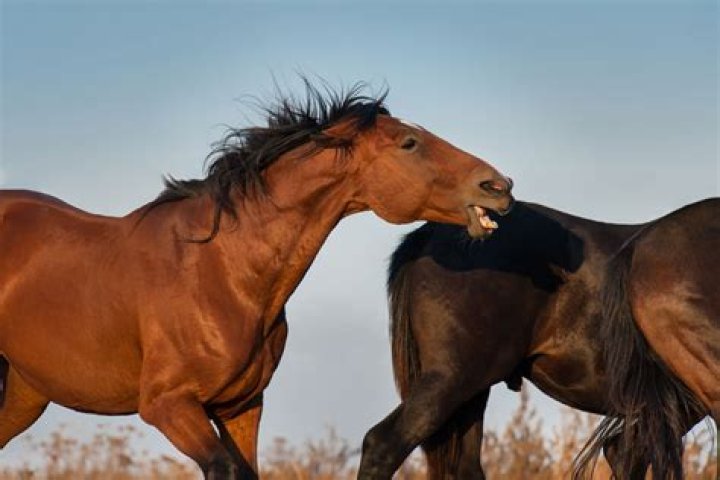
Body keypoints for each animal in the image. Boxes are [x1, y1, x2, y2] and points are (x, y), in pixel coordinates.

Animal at [0, 81, 514, 479]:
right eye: (409, 142)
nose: (499, 186)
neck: (220, 273)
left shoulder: (242, 407)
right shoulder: (169, 406)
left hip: (24, 395)